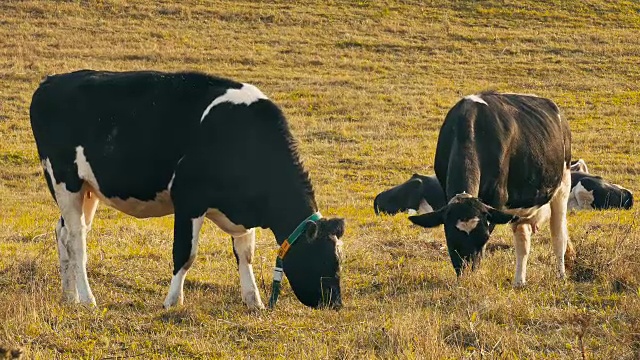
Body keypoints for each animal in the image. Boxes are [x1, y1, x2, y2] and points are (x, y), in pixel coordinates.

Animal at [29, 69, 344, 310]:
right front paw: (172, 301)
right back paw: (87, 299)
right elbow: (185, 254)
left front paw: (253, 301)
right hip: (64, 180)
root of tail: (52, 81)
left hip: (87, 189)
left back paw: (69, 296)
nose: (335, 304)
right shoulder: (189, 200)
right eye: (323, 261)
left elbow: (245, 254)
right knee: (77, 239)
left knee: (63, 233)